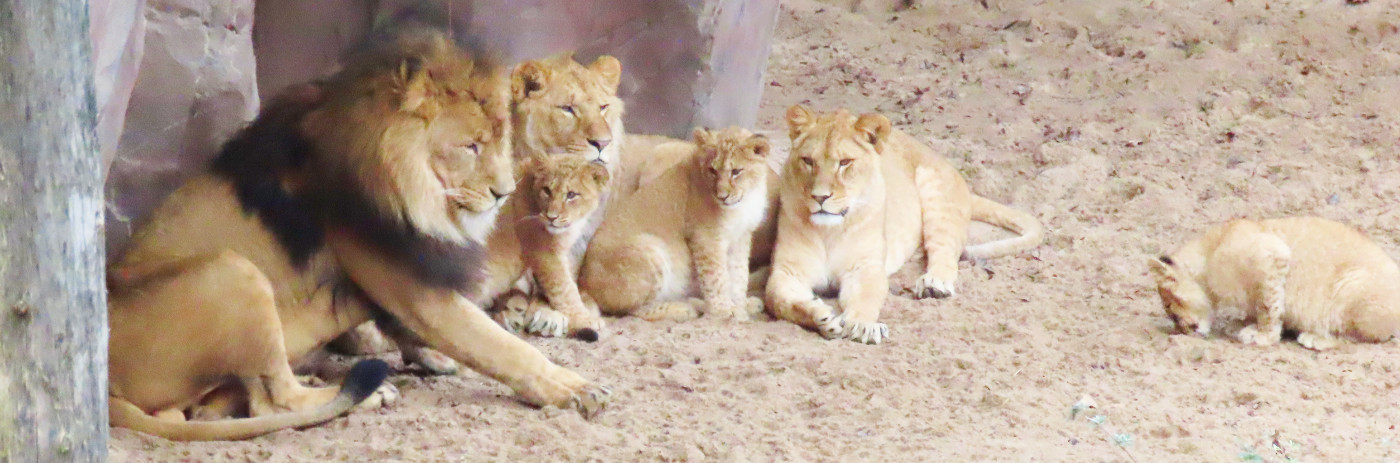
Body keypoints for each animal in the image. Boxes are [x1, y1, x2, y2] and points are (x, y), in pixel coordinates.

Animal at [106, 29, 610, 442]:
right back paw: (366, 393)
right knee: (270, 402)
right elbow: (500, 346)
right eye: (470, 146)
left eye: (499, 141)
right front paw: (574, 388)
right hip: (235, 270)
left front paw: (431, 357)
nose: (504, 193)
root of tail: (108, 384)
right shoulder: (412, 284)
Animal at [767, 104, 1052, 344]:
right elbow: (780, 300)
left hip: (937, 200)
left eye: (845, 162)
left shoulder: (866, 268)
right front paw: (819, 315)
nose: (820, 197)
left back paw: (934, 284)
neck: (829, 232)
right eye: (808, 161)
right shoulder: (787, 272)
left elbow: (867, 298)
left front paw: (862, 325)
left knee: (946, 253)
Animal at [1148, 218, 1400, 352]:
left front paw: (1263, 336)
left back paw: (1316, 337)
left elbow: (1269, 307)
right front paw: (1244, 324)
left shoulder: (1271, 256)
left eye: (1169, 306)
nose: (1183, 331)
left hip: (1349, 288)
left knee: (1360, 338)